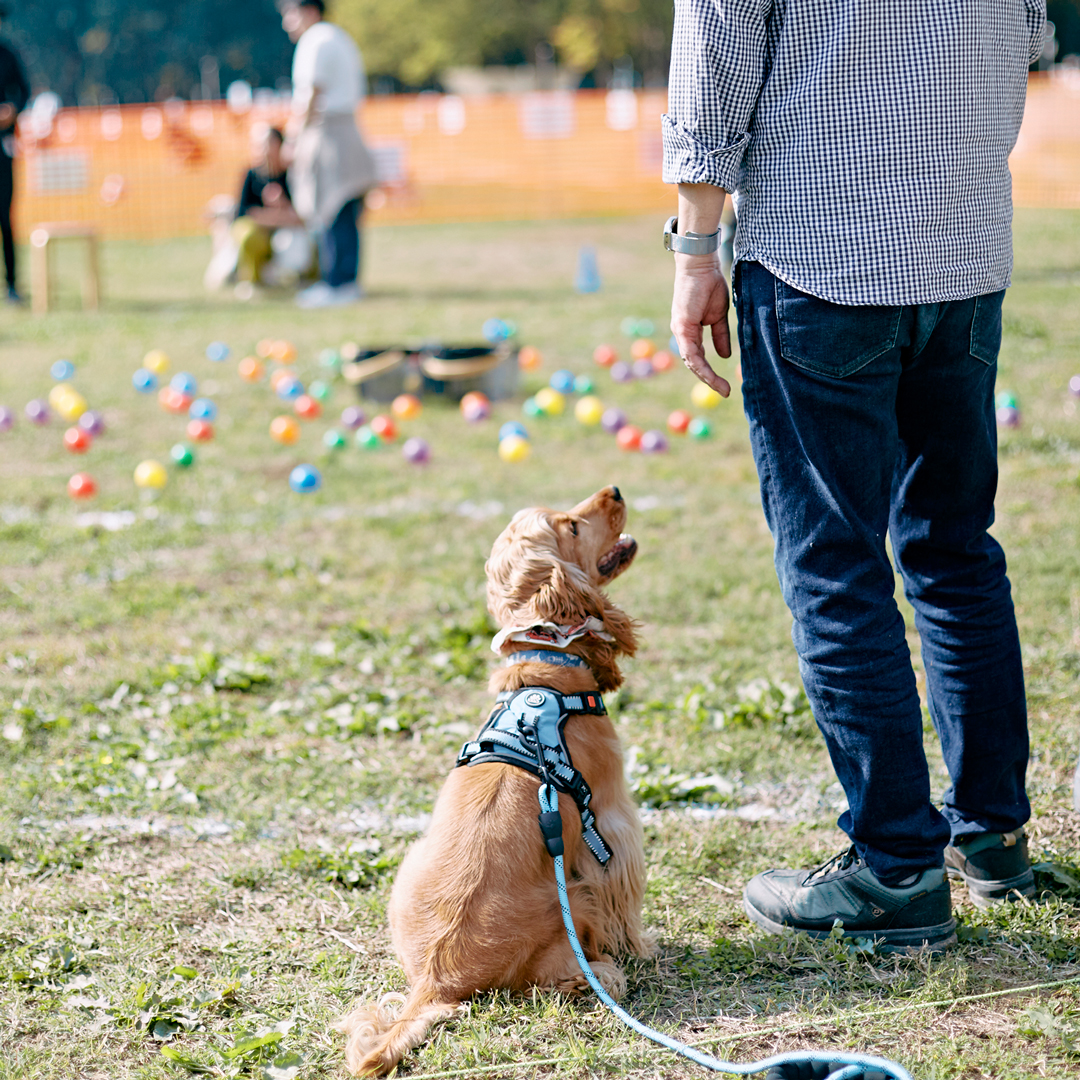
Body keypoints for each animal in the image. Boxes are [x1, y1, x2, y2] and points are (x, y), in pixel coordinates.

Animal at [336, 488, 652, 1071]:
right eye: (573, 526)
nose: (615, 491)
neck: (545, 672)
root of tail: (436, 984)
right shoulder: (611, 820)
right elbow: (625, 893)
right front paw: (640, 948)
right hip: (574, 902)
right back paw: (603, 974)